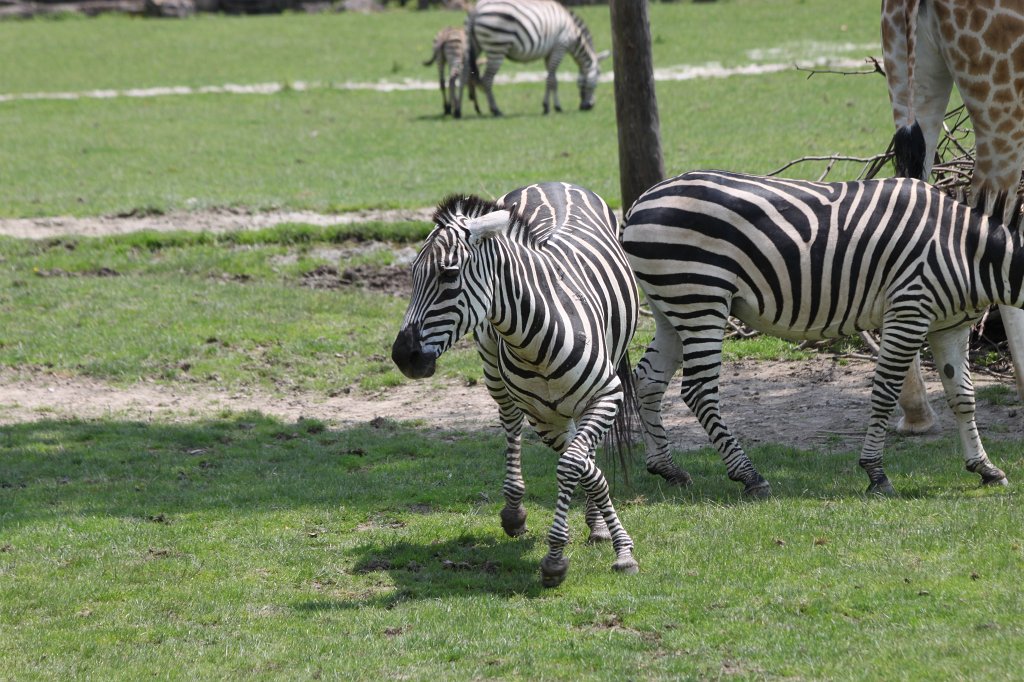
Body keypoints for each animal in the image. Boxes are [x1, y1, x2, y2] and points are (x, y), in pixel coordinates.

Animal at [391, 182, 641, 587]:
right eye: (412, 274)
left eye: (448, 275)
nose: (402, 356)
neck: (535, 341)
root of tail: (551, 183)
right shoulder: (542, 416)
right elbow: (584, 466)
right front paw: (585, 543)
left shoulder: (608, 394)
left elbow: (575, 464)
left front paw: (612, 547)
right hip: (494, 371)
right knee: (510, 422)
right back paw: (514, 512)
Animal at [462, 0, 610, 117]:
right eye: (599, 76)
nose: (588, 107)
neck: (572, 32)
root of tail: (476, 9)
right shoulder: (560, 47)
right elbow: (550, 79)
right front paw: (550, 107)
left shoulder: (549, 52)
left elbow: (553, 79)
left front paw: (553, 106)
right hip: (497, 48)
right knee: (487, 80)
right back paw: (495, 110)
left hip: (474, 46)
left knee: (467, 75)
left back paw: (466, 110)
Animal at [620, 170, 1017, 497]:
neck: (966, 251)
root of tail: (640, 201)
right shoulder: (909, 310)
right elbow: (885, 393)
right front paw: (876, 474)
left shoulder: (950, 327)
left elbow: (963, 397)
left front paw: (985, 467)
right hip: (701, 297)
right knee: (699, 390)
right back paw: (750, 476)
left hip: (671, 307)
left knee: (648, 381)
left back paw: (668, 469)